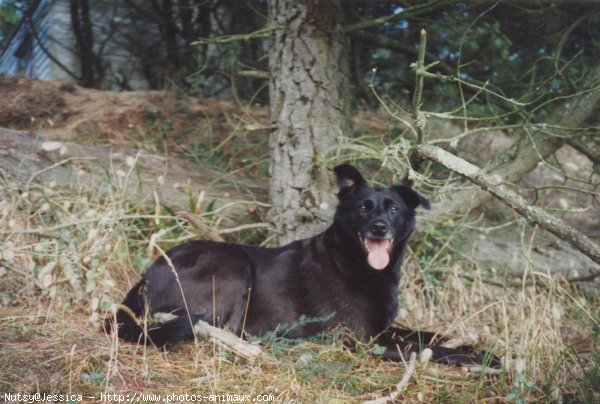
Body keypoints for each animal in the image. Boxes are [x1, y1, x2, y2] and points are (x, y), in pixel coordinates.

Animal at [105, 163, 500, 366]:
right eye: (363, 207)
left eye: (393, 208)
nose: (379, 227)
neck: (355, 264)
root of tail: (141, 281)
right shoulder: (362, 340)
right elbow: (431, 349)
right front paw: (483, 357)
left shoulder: (384, 329)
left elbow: (426, 334)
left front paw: (474, 344)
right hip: (233, 263)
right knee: (223, 330)